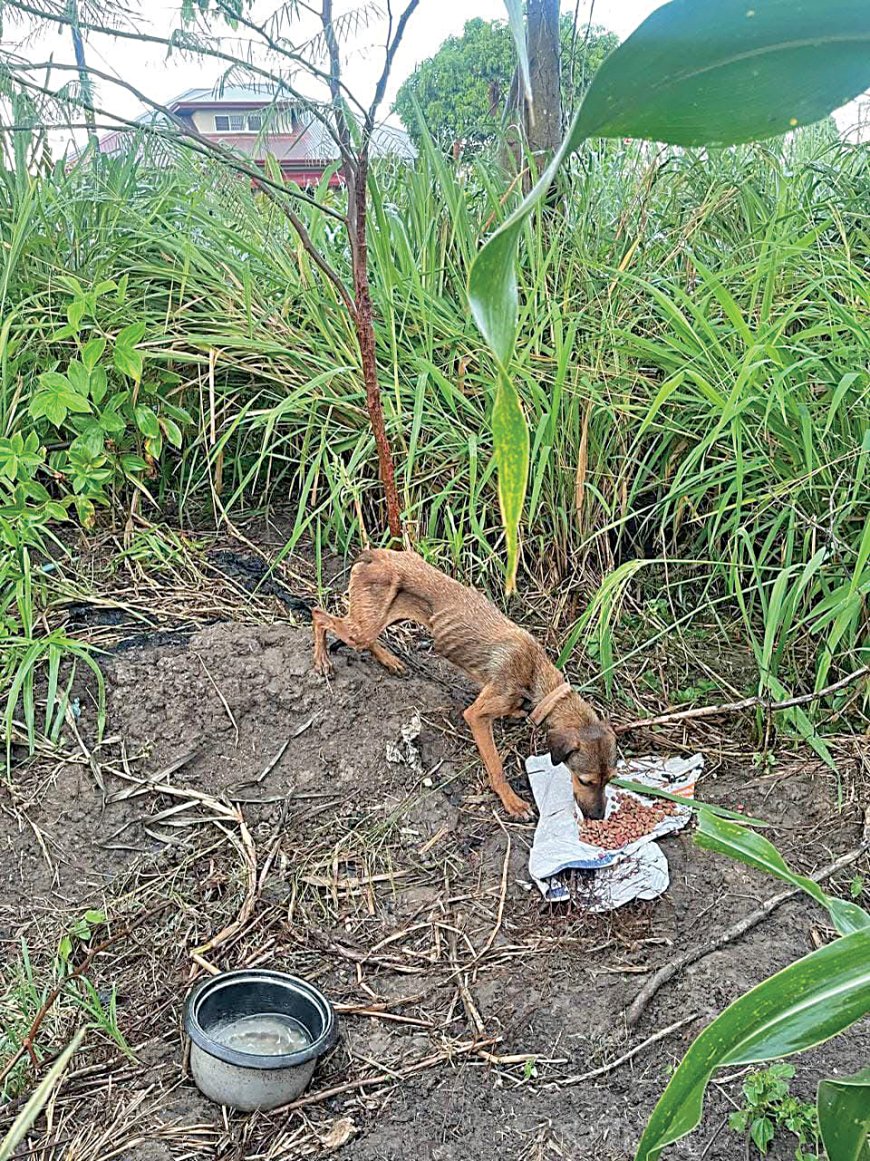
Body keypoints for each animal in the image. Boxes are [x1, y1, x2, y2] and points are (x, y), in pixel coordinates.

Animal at [308, 547, 613, 821]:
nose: (598, 817)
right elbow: (496, 766)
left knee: (359, 634)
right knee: (318, 615)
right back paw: (322, 659)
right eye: (585, 781)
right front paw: (512, 802)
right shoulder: (477, 716)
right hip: (363, 626)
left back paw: (389, 660)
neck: (537, 676)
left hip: (376, 620)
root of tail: (376, 554)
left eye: (609, 779)